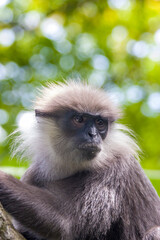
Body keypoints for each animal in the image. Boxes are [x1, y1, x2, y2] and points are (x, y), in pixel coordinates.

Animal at [0, 81, 159, 239]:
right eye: (79, 119)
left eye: (100, 123)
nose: (93, 134)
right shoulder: (33, 173)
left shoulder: (117, 167)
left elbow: (67, 224)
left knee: (154, 232)